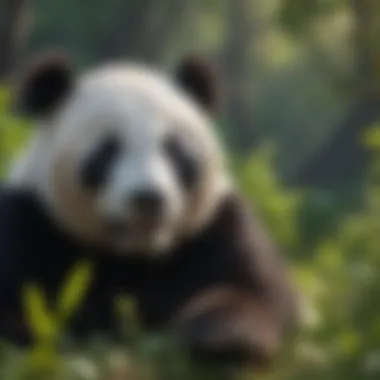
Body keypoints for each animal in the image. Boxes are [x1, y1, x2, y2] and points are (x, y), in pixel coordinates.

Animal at [0, 50, 296, 368]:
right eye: (108, 151)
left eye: (173, 150)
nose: (148, 198)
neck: (136, 254)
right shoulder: (29, 221)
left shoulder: (220, 228)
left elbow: (259, 294)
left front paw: (222, 336)